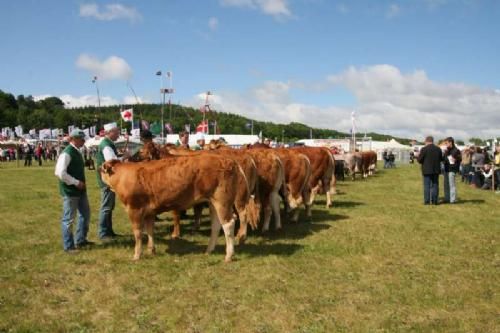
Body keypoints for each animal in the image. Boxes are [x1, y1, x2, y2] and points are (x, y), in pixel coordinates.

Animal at [99, 154, 256, 260]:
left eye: (101, 169)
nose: (98, 172)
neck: (123, 176)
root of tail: (229, 160)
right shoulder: (149, 212)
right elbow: (150, 230)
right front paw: (151, 250)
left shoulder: (134, 209)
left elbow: (138, 234)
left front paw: (137, 255)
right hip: (213, 203)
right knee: (217, 225)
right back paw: (209, 250)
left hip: (222, 201)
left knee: (229, 224)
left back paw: (229, 255)